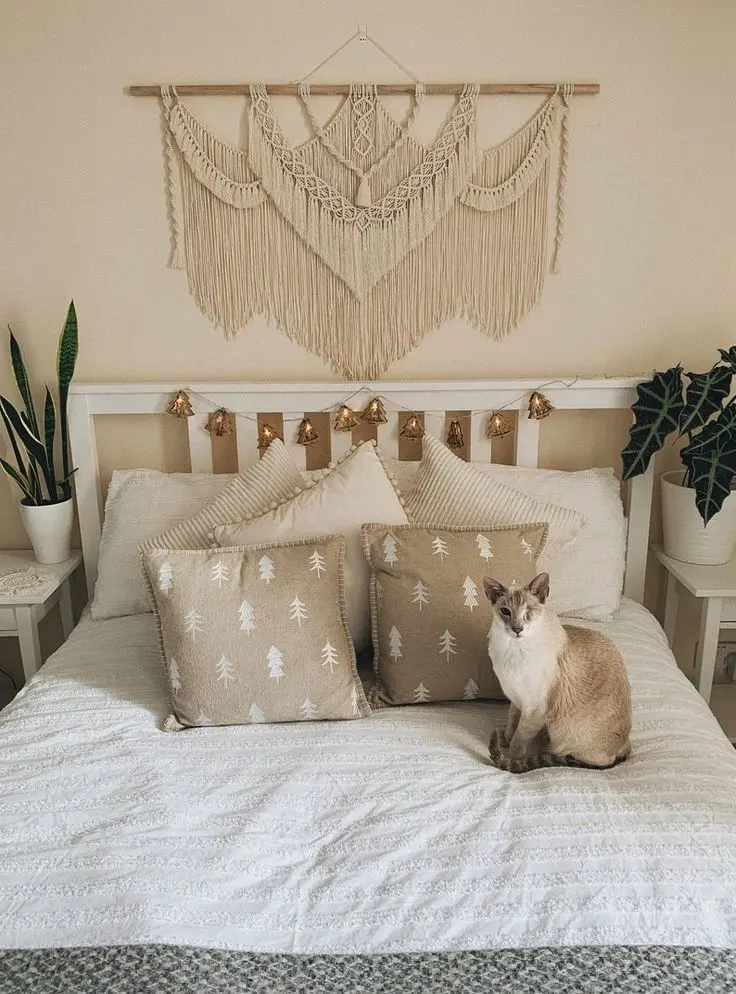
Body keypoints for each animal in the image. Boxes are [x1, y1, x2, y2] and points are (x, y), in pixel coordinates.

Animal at [484, 568, 632, 772]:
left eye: (528, 612)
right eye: (505, 611)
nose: (517, 629)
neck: (511, 650)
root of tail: (627, 747)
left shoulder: (534, 710)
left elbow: (518, 742)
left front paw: (512, 761)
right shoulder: (515, 699)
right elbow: (511, 723)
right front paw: (504, 740)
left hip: (565, 735)